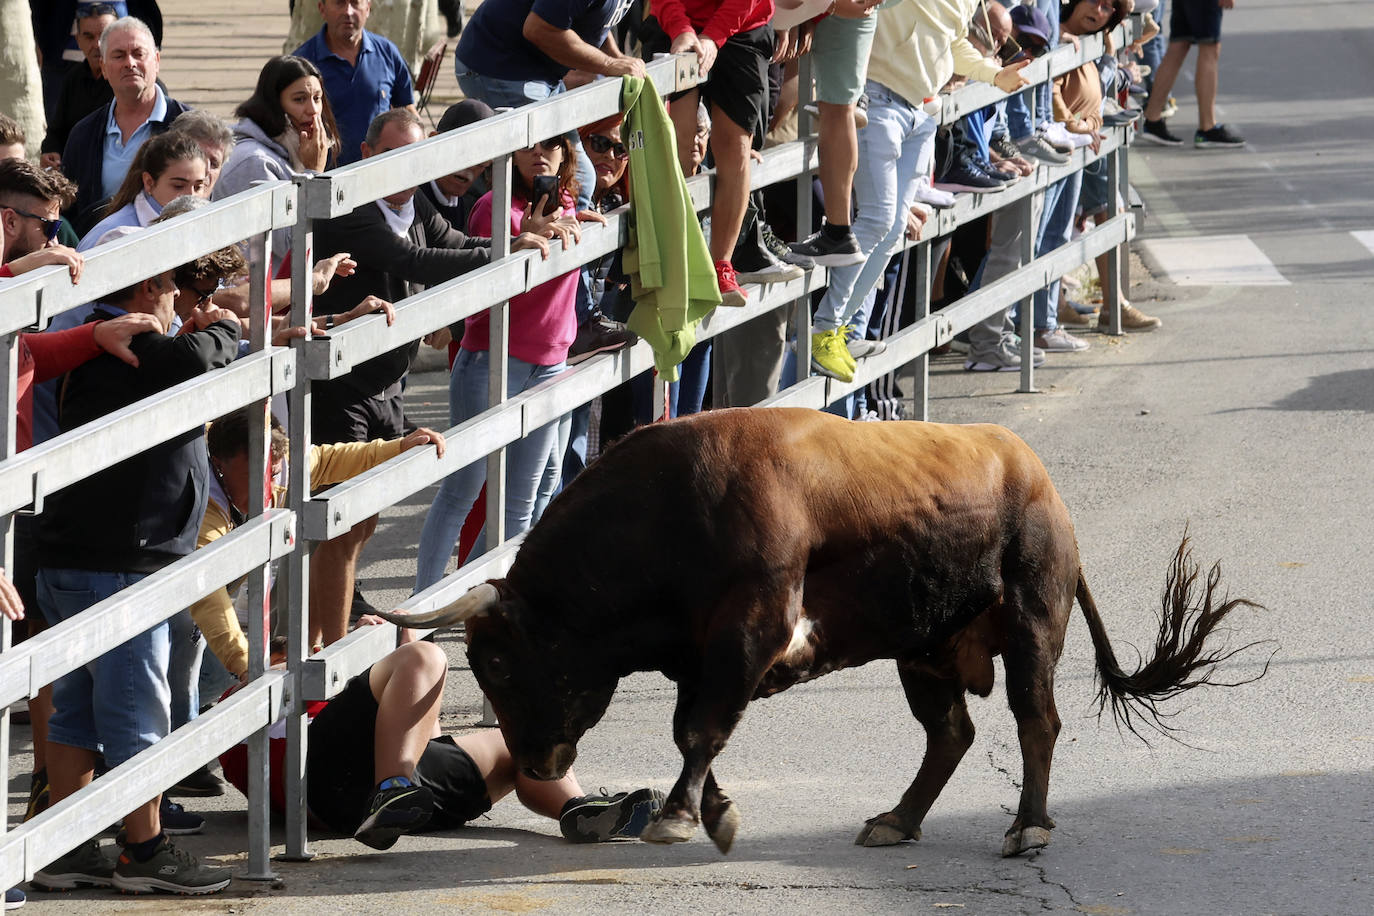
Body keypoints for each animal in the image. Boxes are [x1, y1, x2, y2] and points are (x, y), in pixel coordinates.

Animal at [381, 411, 1258, 856]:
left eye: (497, 660)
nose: (534, 762)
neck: (673, 513)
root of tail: (1039, 479)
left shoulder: (748, 627)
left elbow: (699, 728)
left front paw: (678, 815)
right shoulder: (700, 653)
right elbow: (696, 727)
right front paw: (712, 811)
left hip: (1031, 620)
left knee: (1035, 719)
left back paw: (1028, 826)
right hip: (923, 649)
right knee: (951, 733)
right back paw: (898, 819)